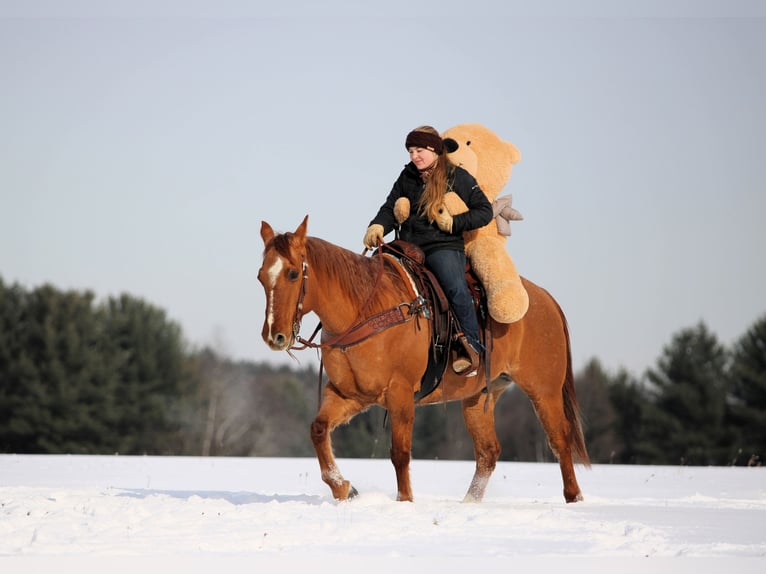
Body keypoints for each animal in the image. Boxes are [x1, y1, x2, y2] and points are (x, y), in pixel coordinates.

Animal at [258, 215, 589, 503]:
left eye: (293, 273)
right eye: (261, 277)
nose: (275, 336)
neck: (364, 310)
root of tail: (545, 298)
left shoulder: (400, 393)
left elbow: (400, 453)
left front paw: (405, 501)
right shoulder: (349, 394)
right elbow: (318, 429)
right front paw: (344, 489)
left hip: (544, 391)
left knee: (560, 440)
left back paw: (574, 498)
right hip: (480, 396)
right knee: (488, 451)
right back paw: (468, 503)